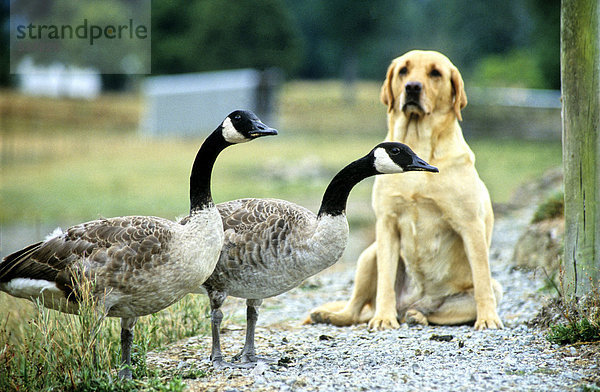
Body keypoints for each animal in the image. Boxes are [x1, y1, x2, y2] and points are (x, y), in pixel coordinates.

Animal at [308, 49, 504, 330]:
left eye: (436, 72)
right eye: (403, 70)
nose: (412, 87)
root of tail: (414, 300)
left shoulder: (470, 224)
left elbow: (481, 279)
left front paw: (488, 319)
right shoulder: (387, 222)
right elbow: (386, 282)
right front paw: (383, 319)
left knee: (446, 307)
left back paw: (417, 315)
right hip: (369, 255)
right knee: (356, 308)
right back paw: (331, 315)